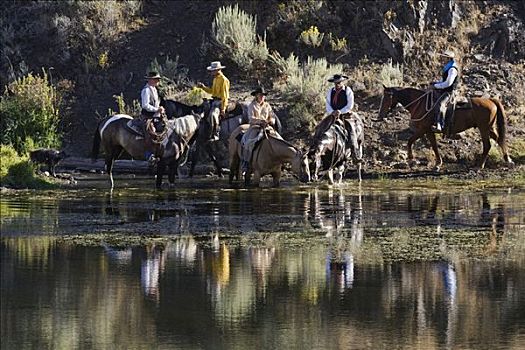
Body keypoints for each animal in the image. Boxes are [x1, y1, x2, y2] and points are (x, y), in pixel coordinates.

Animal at [376, 87, 512, 170]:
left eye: (386, 98)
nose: (380, 115)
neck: (420, 103)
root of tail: (491, 100)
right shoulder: (428, 131)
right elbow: (433, 145)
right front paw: (438, 163)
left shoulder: (424, 129)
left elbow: (411, 141)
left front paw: (411, 159)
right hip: (489, 128)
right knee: (500, 140)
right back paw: (508, 159)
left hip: (483, 128)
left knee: (487, 145)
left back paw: (480, 165)